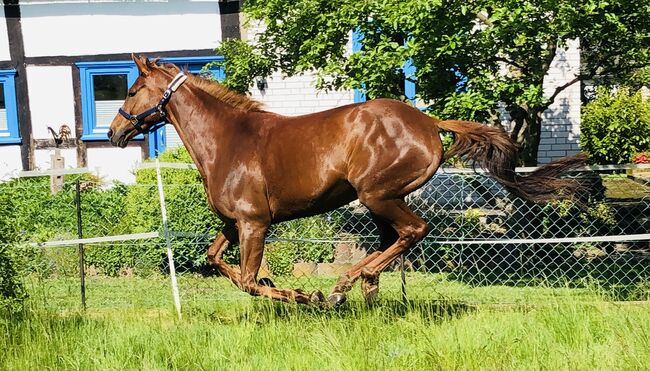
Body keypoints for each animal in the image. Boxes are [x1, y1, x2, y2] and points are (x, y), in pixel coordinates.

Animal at [107, 55, 584, 306]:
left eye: (130, 91)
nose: (114, 132)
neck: (227, 140)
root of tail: (428, 123)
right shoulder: (234, 223)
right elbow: (217, 260)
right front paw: (287, 287)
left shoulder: (254, 224)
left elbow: (246, 281)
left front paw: (303, 295)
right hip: (379, 202)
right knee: (392, 243)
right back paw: (363, 292)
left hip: (378, 195)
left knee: (413, 231)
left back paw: (340, 288)